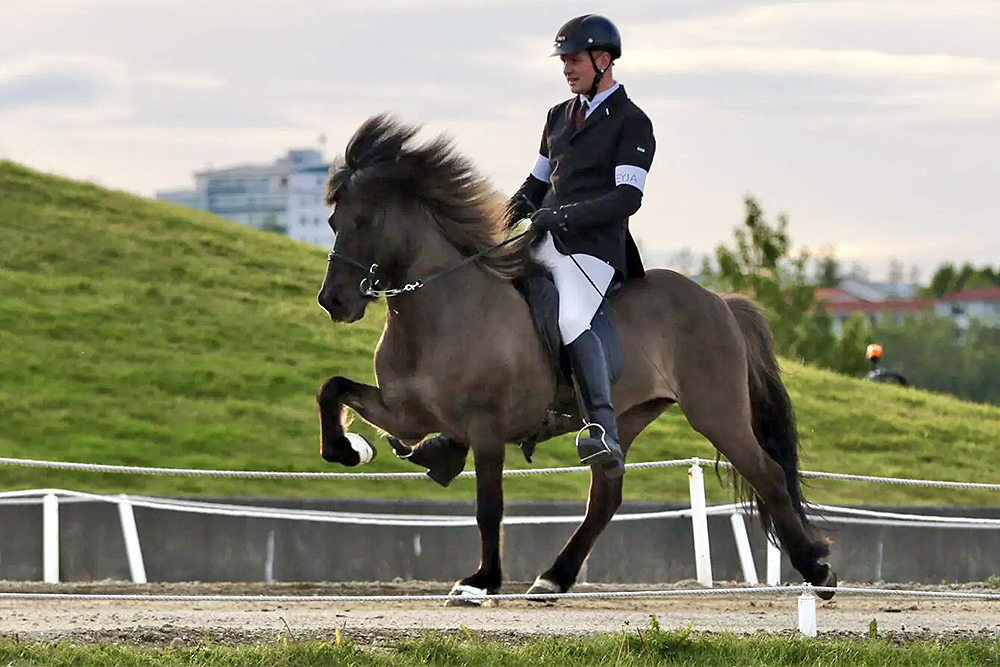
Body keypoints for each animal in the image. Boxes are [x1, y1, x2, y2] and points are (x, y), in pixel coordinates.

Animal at [312, 113, 836, 604]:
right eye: (334, 224)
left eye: (364, 221)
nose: (333, 302)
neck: (442, 306)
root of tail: (720, 301)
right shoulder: (407, 414)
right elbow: (332, 389)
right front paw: (352, 449)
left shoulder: (486, 428)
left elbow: (489, 506)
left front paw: (481, 581)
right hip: (628, 414)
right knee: (606, 495)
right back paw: (552, 578)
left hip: (716, 411)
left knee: (768, 475)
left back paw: (819, 571)